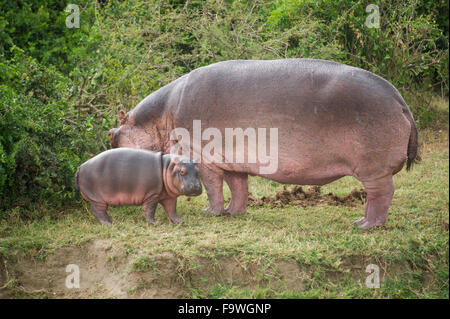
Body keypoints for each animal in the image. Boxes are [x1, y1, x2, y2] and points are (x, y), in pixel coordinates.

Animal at [74, 149, 202, 226]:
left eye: (198, 171)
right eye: (182, 171)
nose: (196, 187)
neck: (167, 167)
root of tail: (80, 167)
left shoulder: (169, 197)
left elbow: (172, 210)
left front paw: (180, 222)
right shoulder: (152, 194)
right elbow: (150, 209)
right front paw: (154, 223)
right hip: (97, 198)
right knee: (98, 211)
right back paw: (109, 224)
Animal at [108, 59, 418, 230]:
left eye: (112, 135)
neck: (161, 117)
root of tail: (399, 99)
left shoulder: (203, 157)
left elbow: (212, 188)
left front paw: (211, 213)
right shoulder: (233, 161)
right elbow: (238, 188)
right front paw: (233, 213)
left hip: (373, 169)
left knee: (381, 195)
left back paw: (365, 226)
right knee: (378, 196)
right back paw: (360, 222)